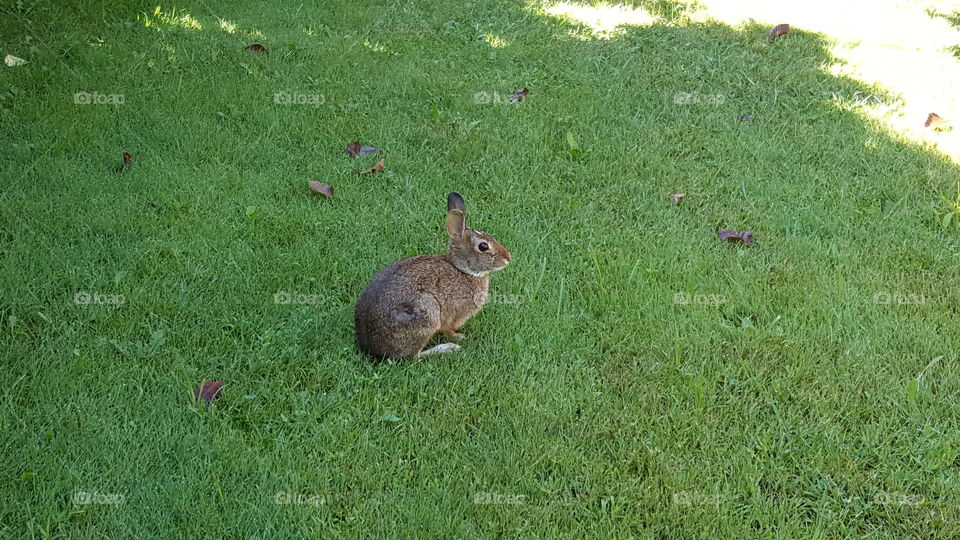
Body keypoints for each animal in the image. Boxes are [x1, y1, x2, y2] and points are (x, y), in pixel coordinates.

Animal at [355, 192, 512, 359]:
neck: (462, 270)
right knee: (414, 356)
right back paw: (448, 348)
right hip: (427, 312)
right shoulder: (451, 316)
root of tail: (371, 347)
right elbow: (448, 329)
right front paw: (459, 337)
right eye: (483, 246)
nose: (508, 258)